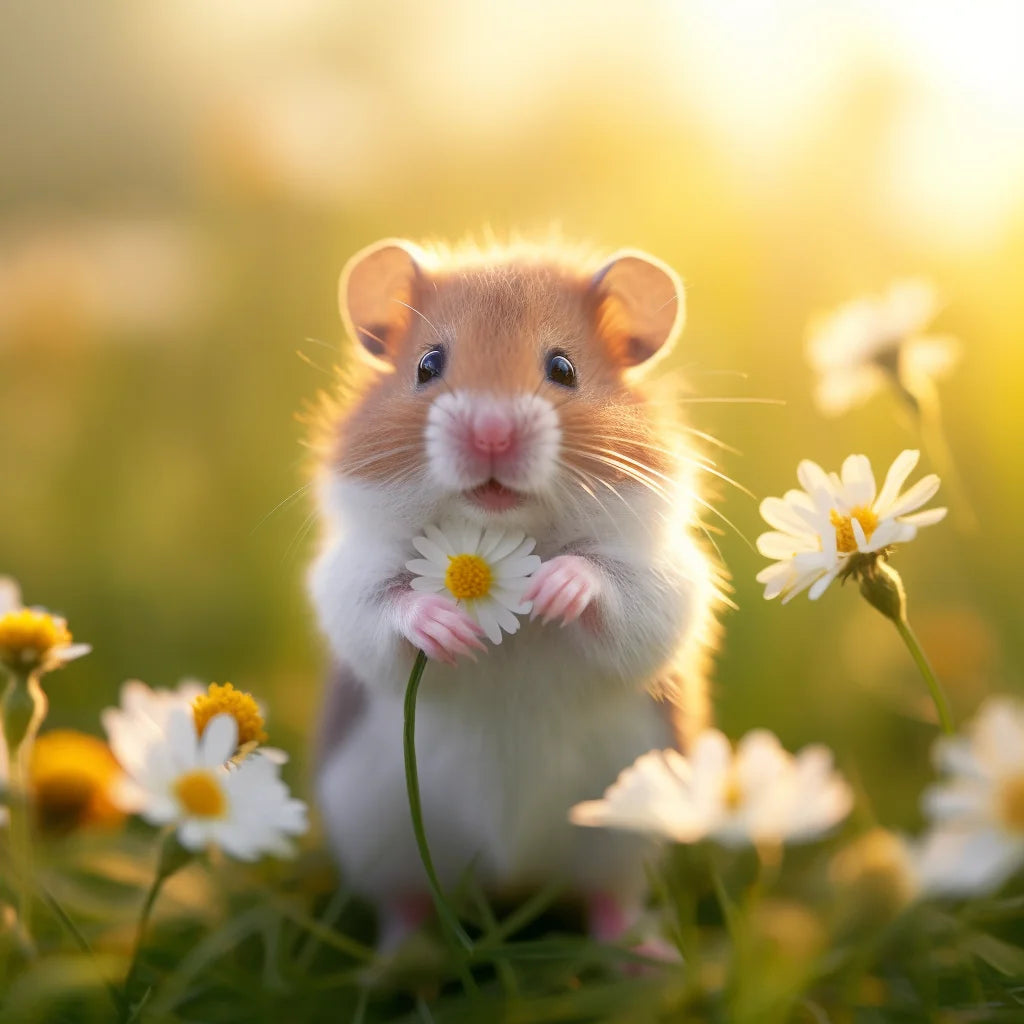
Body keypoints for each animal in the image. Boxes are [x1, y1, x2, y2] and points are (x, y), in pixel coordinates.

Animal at [307, 237, 723, 948]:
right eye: (428, 365)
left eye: (563, 368)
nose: (491, 434)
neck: (507, 529)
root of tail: (512, 876)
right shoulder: (350, 574)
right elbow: (381, 607)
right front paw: (450, 631)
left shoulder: (666, 576)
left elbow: (620, 589)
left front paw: (555, 591)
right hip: (377, 833)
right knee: (406, 903)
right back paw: (400, 959)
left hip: (627, 828)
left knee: (611, 898)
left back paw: (647, 959)